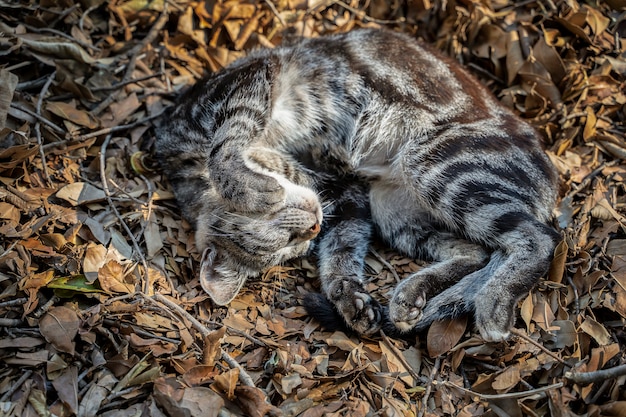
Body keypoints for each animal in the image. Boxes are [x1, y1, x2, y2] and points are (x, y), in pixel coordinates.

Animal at [156, 28, 556, 342]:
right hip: (394, 211)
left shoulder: (247, 83)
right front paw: (352, 302)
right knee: (479, 252)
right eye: (290, 248)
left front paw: (250, 189)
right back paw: (410, 297)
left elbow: (225, 146)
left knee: (539, 239)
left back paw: (494, 303)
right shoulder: (345, 193)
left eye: (286, 239)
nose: (313, 228)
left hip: (435, 163)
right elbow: (340, 255)